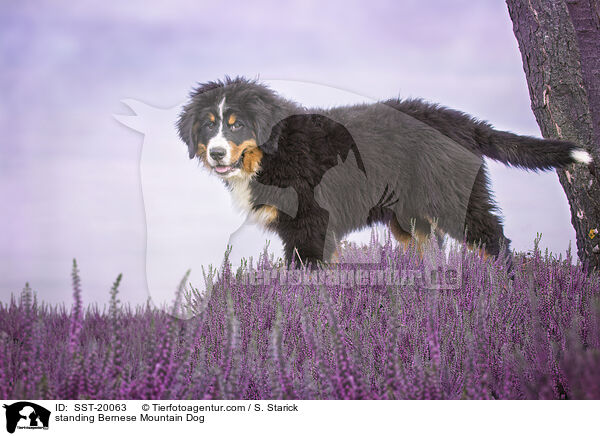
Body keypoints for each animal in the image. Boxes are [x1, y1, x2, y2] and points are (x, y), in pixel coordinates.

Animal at [177, 76, 592, 268]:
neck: (274, 150)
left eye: (237, 125)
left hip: (453, 200)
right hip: (410, 220)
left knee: (494, 242)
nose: (216, 153)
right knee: (434, 256)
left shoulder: (309, 224)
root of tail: (455, 119)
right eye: (209, 124)